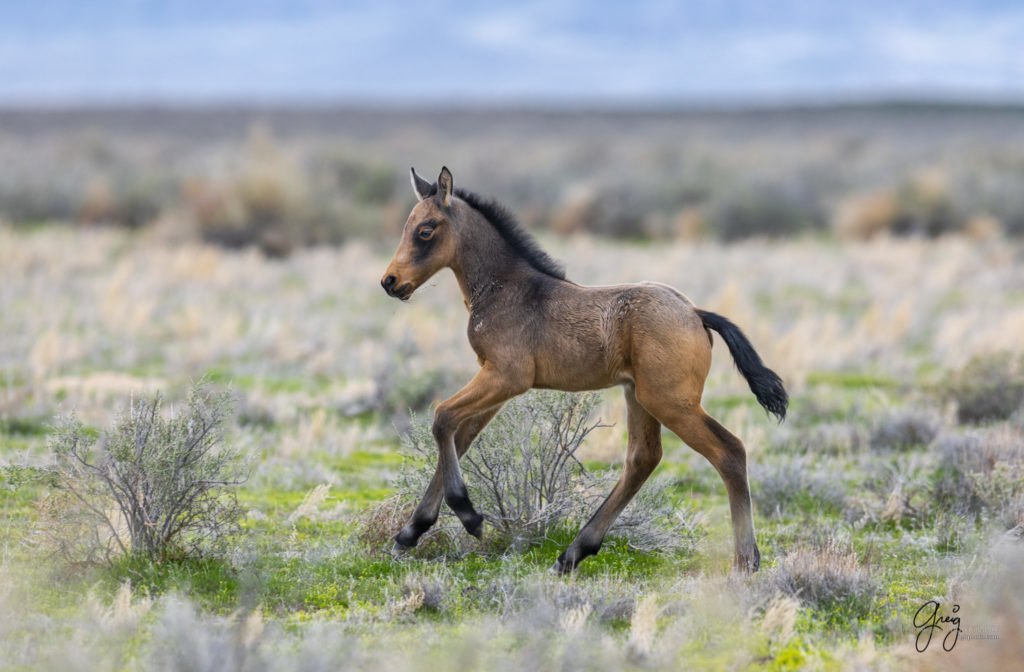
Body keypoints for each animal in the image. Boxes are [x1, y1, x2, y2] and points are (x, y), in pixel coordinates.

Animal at [380, 166, 786, 573]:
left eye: (426, 230)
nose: (390, 282)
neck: (506, 289)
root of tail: (695, 313)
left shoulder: (506, 378)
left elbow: (442, 417)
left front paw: (469, 517)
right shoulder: (494, 384)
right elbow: (459, 436)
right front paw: (408, 535)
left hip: (671, 402)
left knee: (729, 452)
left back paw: (745, 561)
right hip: (639, 396)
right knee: (643, 459)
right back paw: (572, 554)